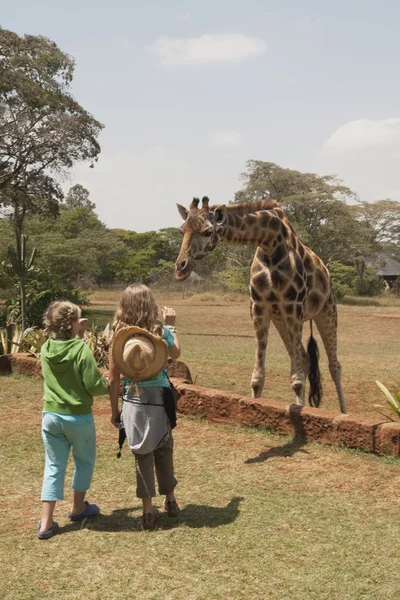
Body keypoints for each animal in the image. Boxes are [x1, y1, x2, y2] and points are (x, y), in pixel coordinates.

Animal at [175, 197, 346, 412]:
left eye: (208, 231)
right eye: (182, 230)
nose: (180, 268)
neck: (269, 242)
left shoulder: (293, 305)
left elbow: (296, 380)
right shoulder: (259, 306)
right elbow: (257, 379)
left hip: (326, 310)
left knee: (334, 366)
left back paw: (343, 412)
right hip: (281, 319)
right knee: (305, 359)